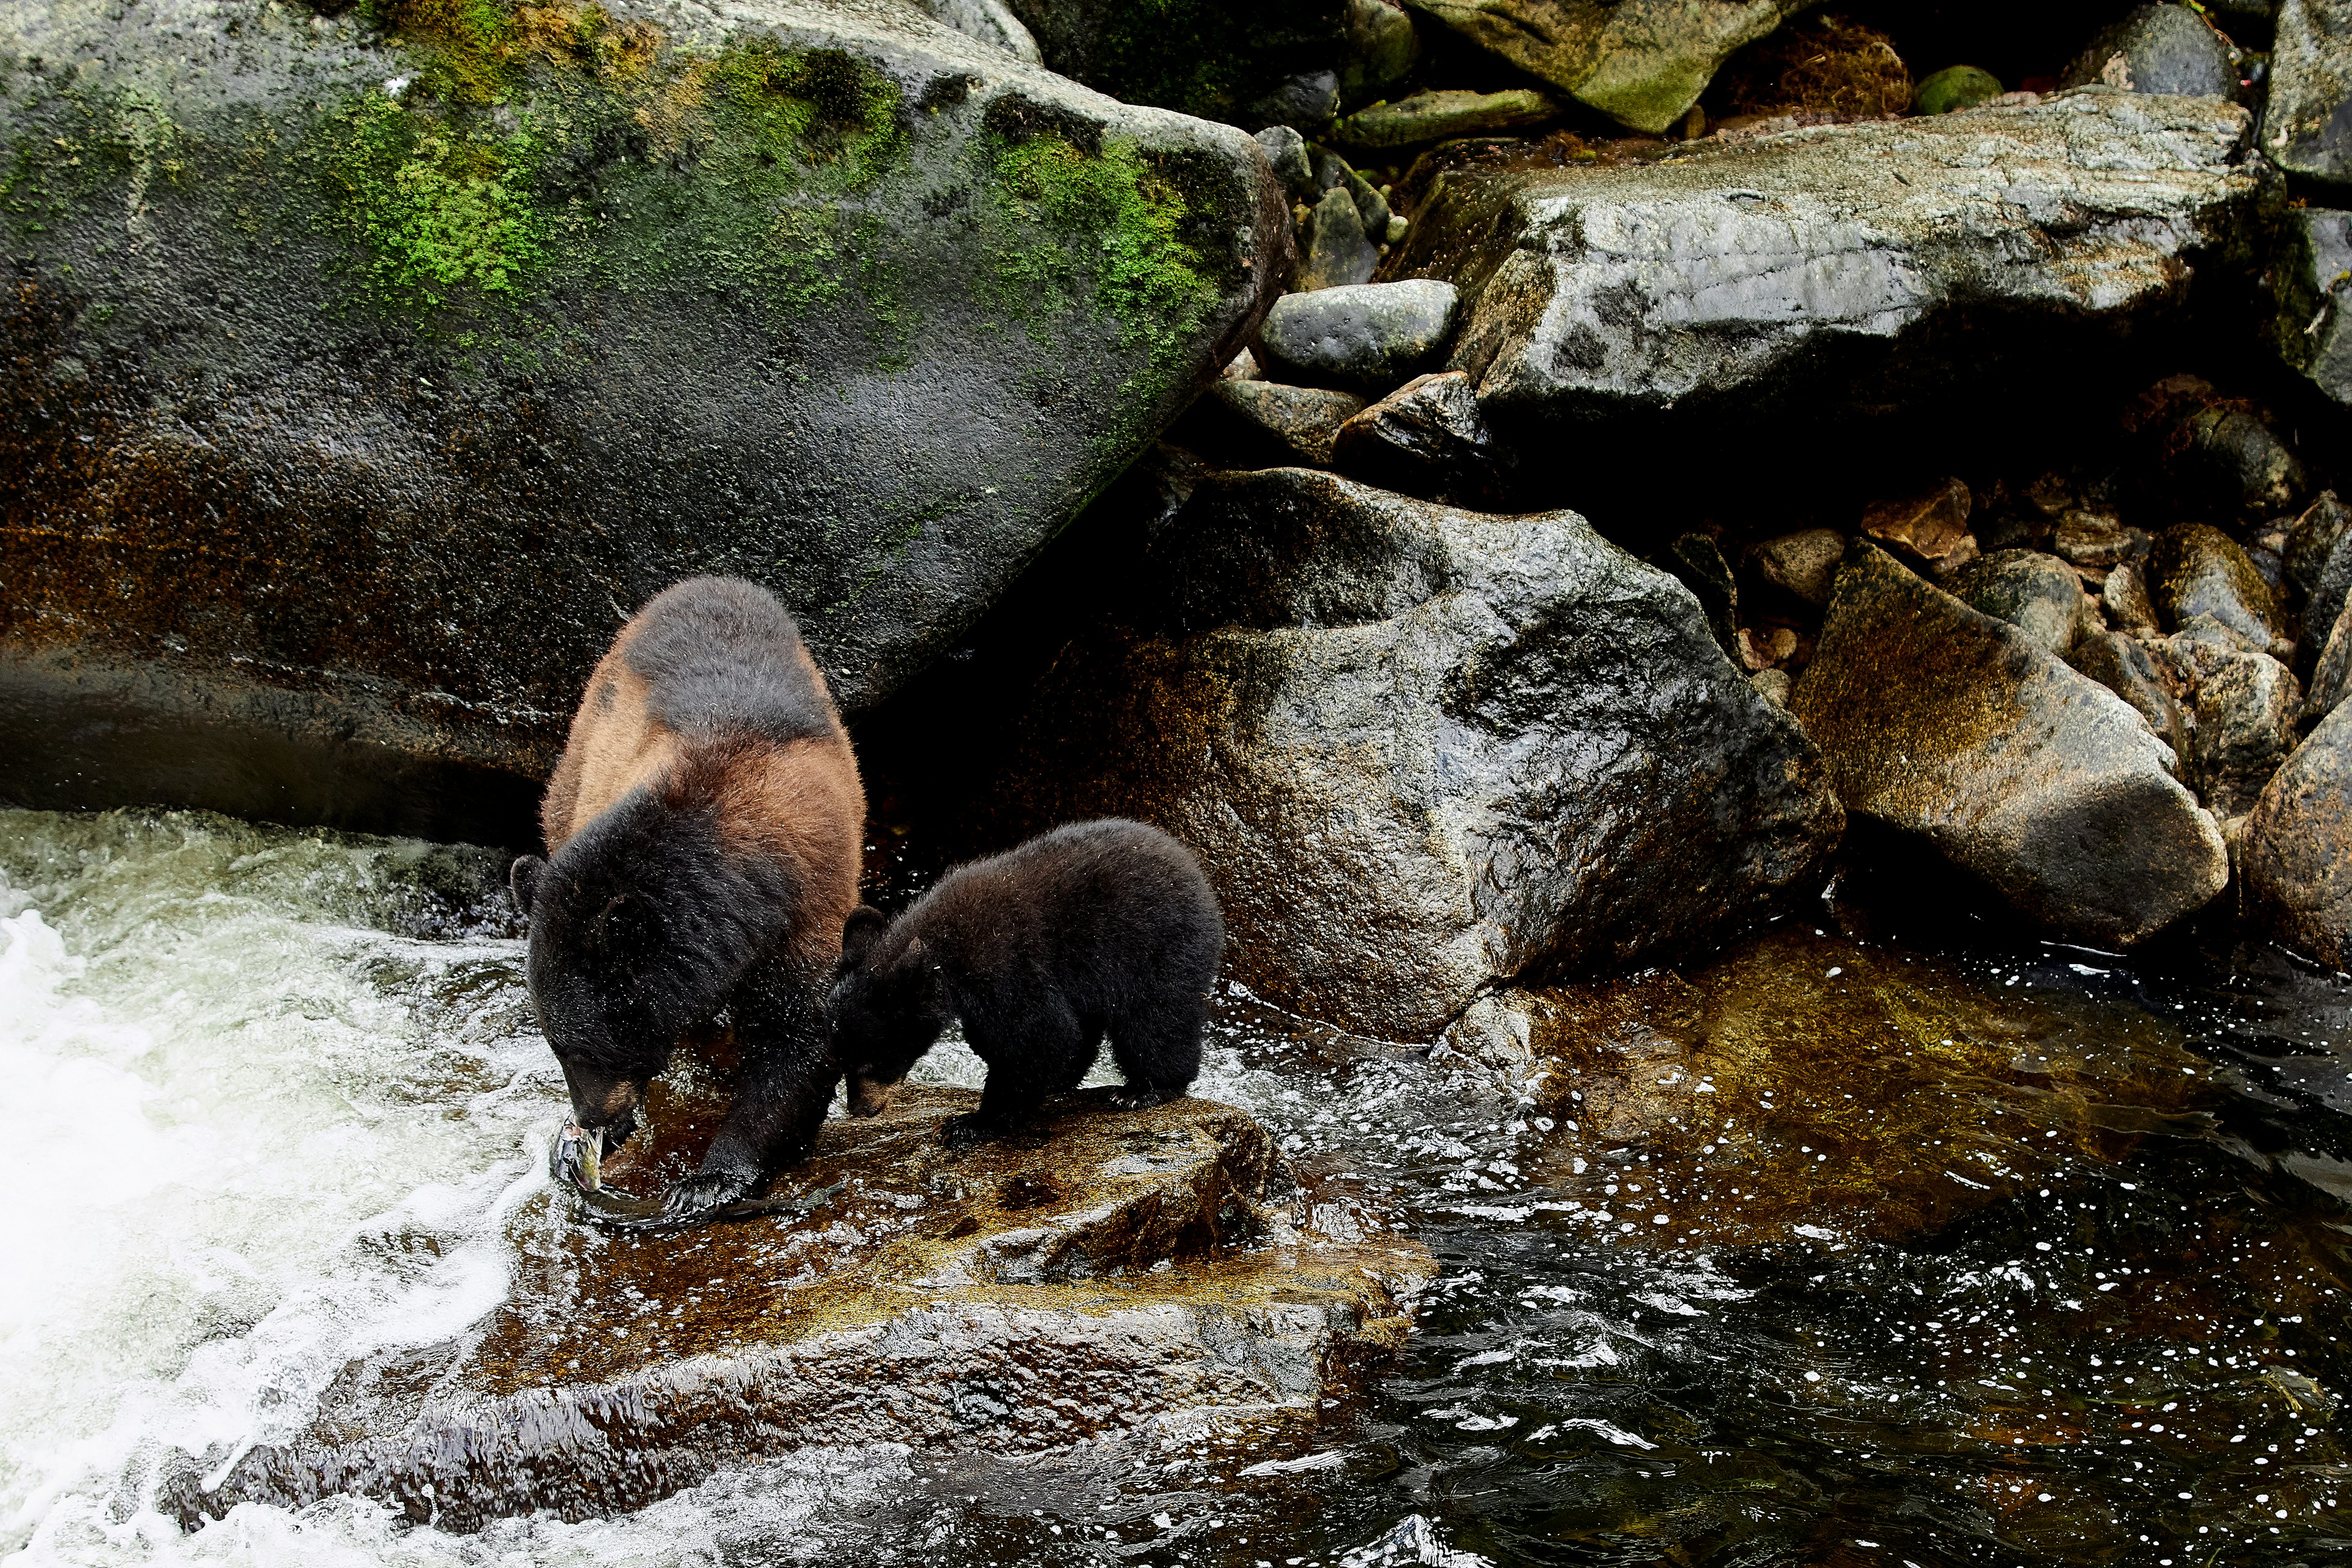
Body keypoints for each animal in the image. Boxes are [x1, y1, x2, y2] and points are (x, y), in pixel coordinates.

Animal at [508, 581, 865, 1222]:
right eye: (555, 1045)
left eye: (584, 1046)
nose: (595, 1120)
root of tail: (703, 584)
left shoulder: (805, 902)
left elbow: (796, 1035)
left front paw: (712, 1178)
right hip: (577, 768)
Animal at [827, 823, 1223, 1152]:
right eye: (842, 1063)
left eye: (870, 1062)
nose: (860, 1109)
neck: (942, 952)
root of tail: (1197, 872)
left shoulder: (1005, 967)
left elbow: (1039, 1035)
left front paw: (972, 1124)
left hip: (1158, 949)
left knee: (1155, 1021)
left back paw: (1143, 1090)